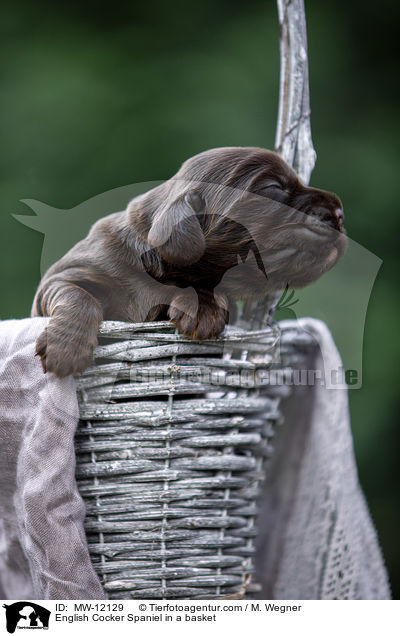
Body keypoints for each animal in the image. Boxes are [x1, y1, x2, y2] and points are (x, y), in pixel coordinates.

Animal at [31, 148, 346, 378]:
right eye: (272, 187)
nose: (340, 213)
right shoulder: (63, 276)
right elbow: (78, 295)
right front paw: (65, 348)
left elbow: (207, 284)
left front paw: (203, 309)